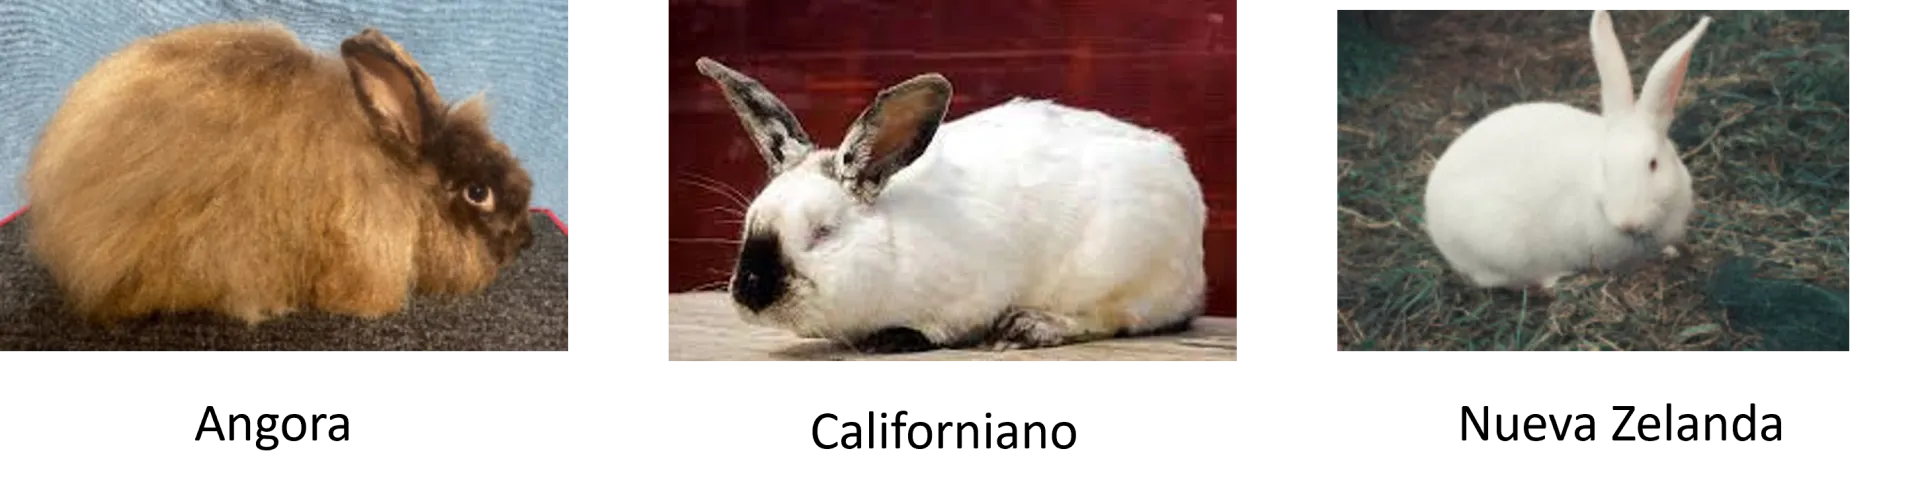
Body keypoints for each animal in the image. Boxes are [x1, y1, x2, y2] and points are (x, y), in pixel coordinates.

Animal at [694, 57, 1208, 352]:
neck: (891, 246)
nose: (750, 291)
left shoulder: (971, 294)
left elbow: (942, 327)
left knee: (1116, 319)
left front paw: (894, 338)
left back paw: (1030, 327)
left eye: (824, 231)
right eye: (749, 224)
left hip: (1117, 270)